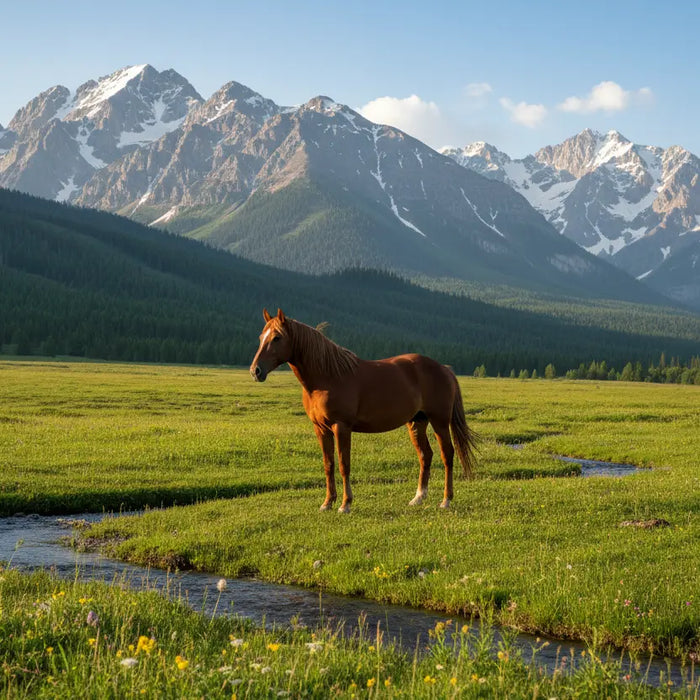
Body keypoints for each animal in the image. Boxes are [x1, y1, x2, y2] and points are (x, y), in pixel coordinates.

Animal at [249, 308, 477, 513]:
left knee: (447, 455)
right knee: (425, 455)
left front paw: (345, 504)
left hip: (440, 422)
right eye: (261, 337)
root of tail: (444, 368)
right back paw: (418, 498)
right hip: (417, 422)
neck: (328, 377)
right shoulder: (320, 428)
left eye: (277, 338)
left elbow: (344, 464)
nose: (255, 371)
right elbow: (328, 464)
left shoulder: (341, 427)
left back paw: (446, 500)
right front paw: (327, 503)